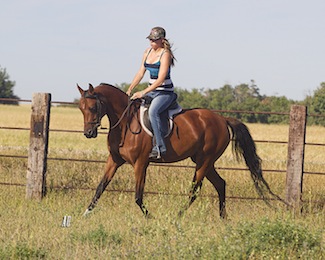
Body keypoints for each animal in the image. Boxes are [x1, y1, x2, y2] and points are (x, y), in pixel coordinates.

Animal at [77, 83, 278, 217]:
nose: (88, 133)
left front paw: (151, 218)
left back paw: (178, 216)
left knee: (194, 190)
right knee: (220, 184)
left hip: (204, 161)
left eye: (93, 107)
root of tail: (222, 119)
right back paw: (223, 218)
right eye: (81, 108)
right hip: (204, 161)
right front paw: (85, 214)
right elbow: (100, 188)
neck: (126, 123)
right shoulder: (114, 160)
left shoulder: (141, 164)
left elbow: (138, 196)